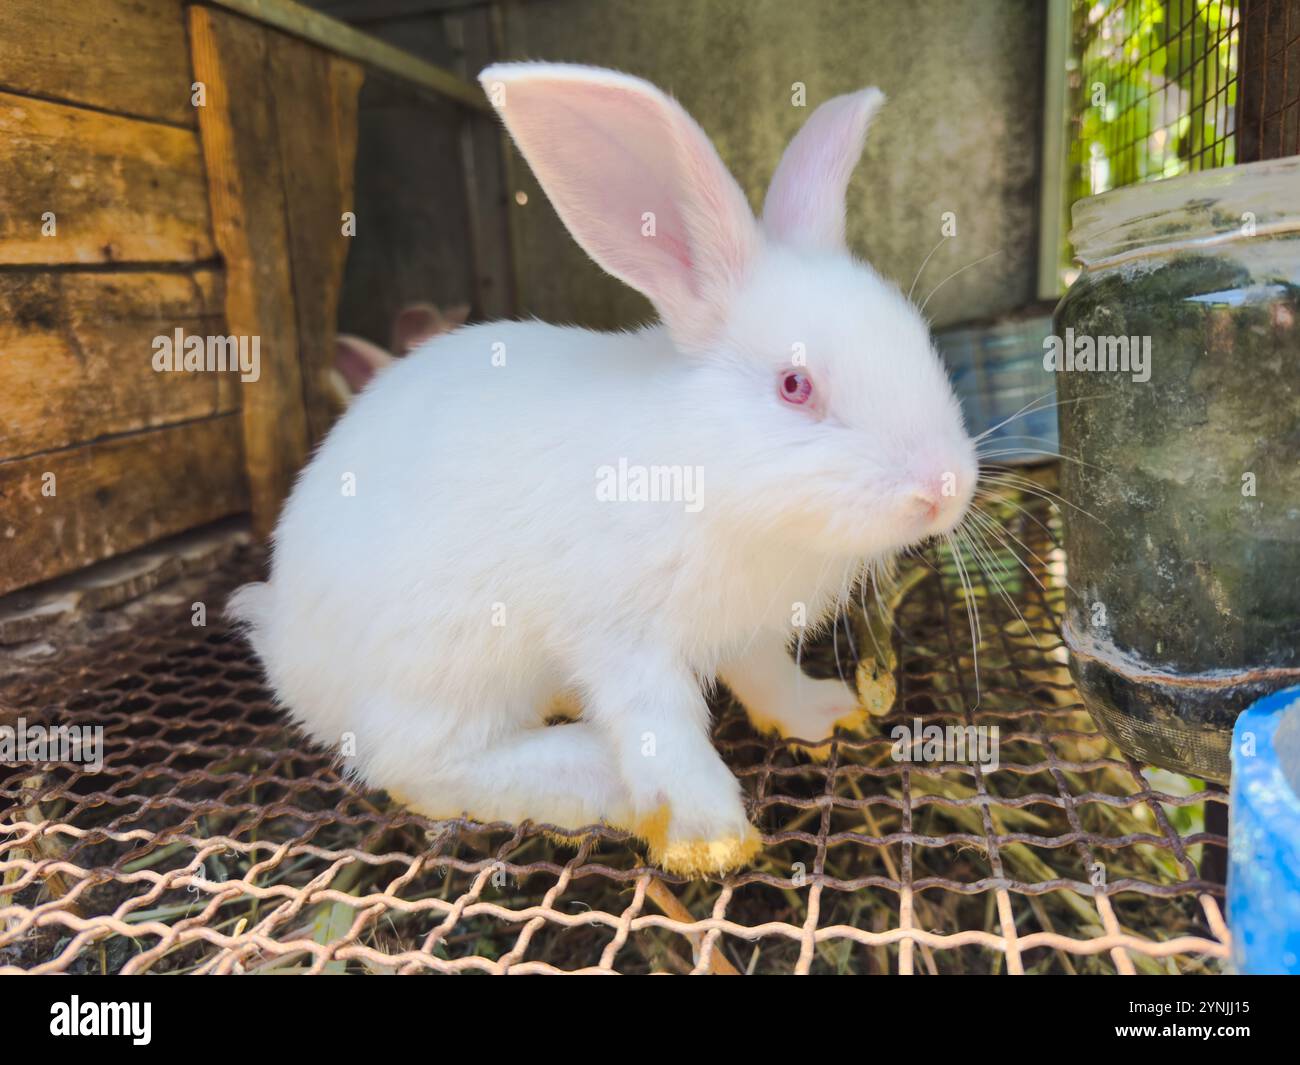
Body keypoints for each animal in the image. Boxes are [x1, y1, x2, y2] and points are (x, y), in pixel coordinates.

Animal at [229, 62, 977, 877]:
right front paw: (712, 838)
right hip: (448, 660)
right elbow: (662, 733)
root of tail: (287, 651)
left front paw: (823, 715)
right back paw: (592, 772)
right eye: (794, 386)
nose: (944, 490)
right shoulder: (624, 638)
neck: (702, 466)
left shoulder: (743, 632)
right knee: (421, 766)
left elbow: (767, 676)